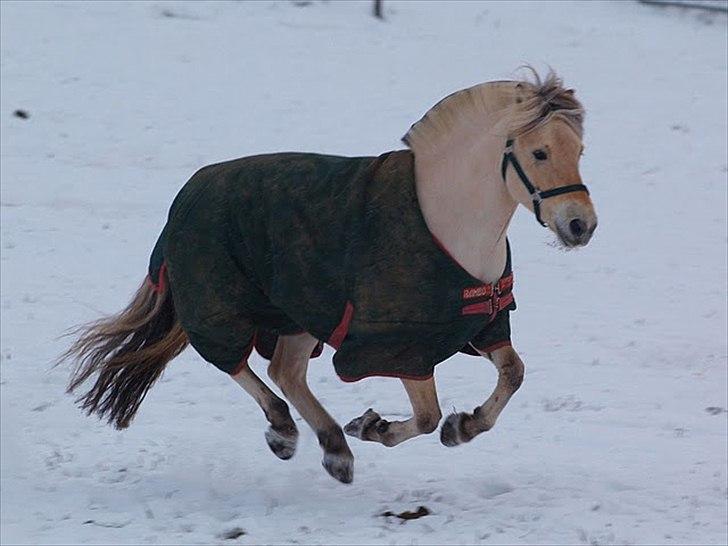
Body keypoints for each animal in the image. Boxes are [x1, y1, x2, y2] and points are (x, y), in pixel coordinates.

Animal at [61, 68, 596, 480]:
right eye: (540, 152)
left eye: (579, 151)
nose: (581, 225)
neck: (450, 222)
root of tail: (187, 195)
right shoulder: (399, 346)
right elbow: (426, 415)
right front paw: (378, 426)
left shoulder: (483, 326)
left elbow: (513, 374)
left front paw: (461, 427)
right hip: (223, 303)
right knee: (234, 361)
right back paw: (288, 433)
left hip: (298, 313)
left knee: (284, 370)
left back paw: (335, 449)